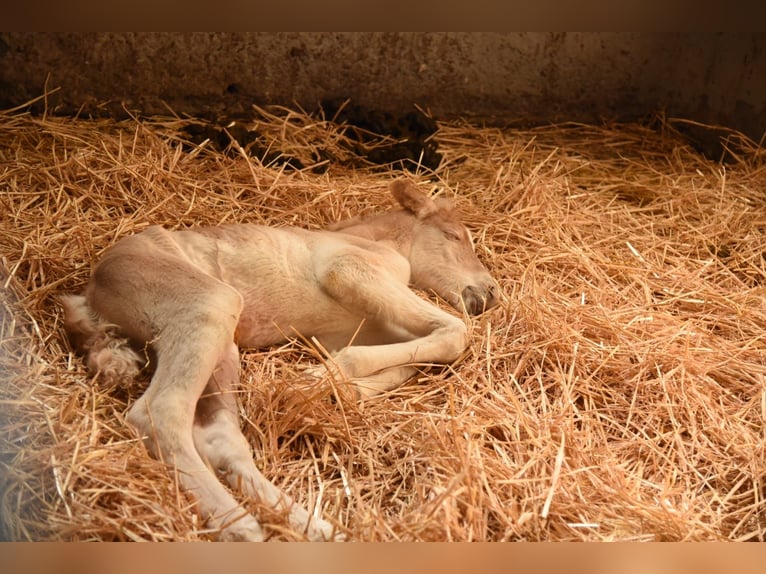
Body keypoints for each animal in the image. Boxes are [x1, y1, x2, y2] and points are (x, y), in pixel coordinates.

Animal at [60, 181, 498, 544]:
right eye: (454, 236)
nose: (490, 292)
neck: (373, 242)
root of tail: (89, 295)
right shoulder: (350, 271)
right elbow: (455, 331)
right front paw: (317, 377)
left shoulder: (363, 327)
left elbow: (429, 348)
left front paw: (339, 389)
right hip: (207, 304)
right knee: (159, 412)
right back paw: (240, 527)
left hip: (223, 343)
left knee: (219, 437)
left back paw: (316, 529)